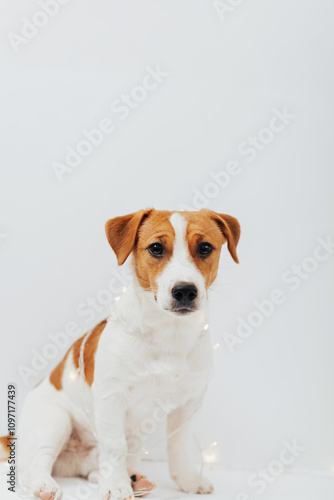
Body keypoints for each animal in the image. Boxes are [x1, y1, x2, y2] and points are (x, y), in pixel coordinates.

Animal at [0, 209, 240, 500]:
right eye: (156, 248)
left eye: (205, 248)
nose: (184, 290)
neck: (168, 336)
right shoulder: (111, 398)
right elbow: (115, 447)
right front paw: (115, 486)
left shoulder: (188, 404)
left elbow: (179, 447)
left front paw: (187, 479)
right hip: (54, 421)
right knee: (36, 463)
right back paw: (44, 485)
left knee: (92, 465)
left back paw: (134, 479)